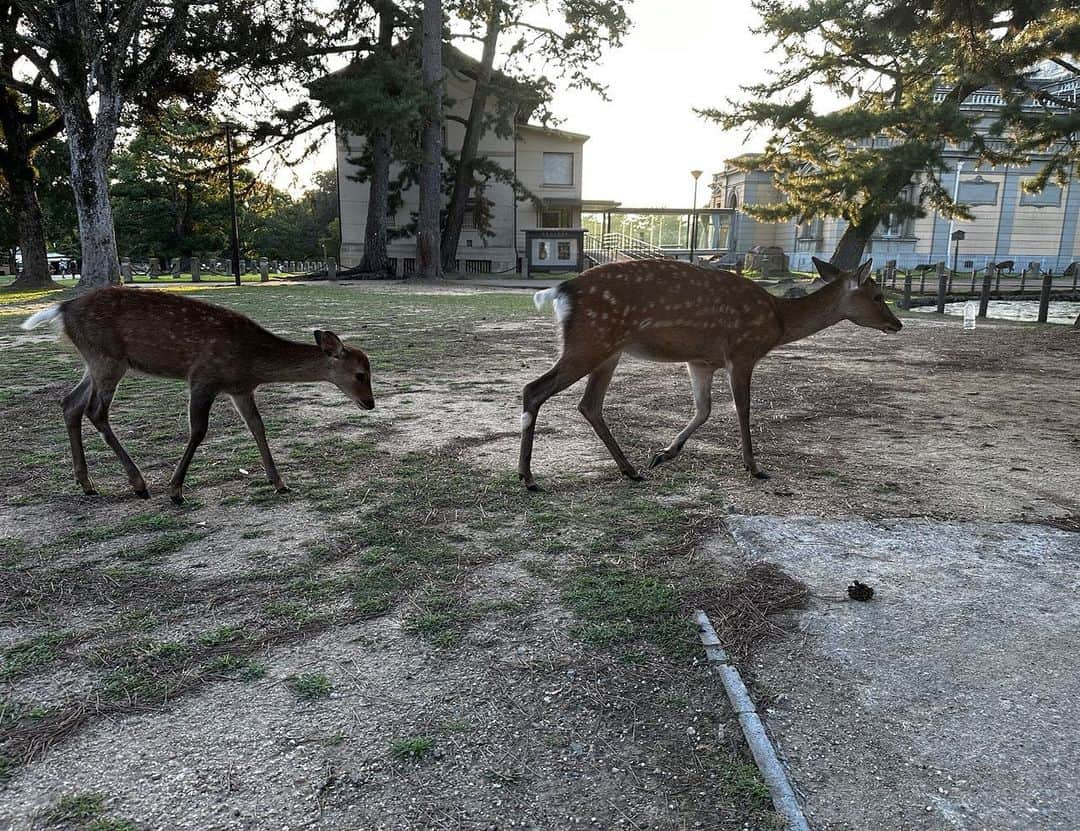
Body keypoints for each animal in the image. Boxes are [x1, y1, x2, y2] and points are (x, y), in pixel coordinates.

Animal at [518, 256, 898, 488]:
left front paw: (664, 454)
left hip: (608, 351)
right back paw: (528, 476)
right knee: (534, 389)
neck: (778, 321)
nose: (898, 324)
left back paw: (631, 470)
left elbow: (704, 409)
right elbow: (742, 409)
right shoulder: (742, 352)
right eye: (878, 296)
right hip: (590, 341)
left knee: (589, 404)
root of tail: (561, 290)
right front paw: (754, 467)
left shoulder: (701, 361)